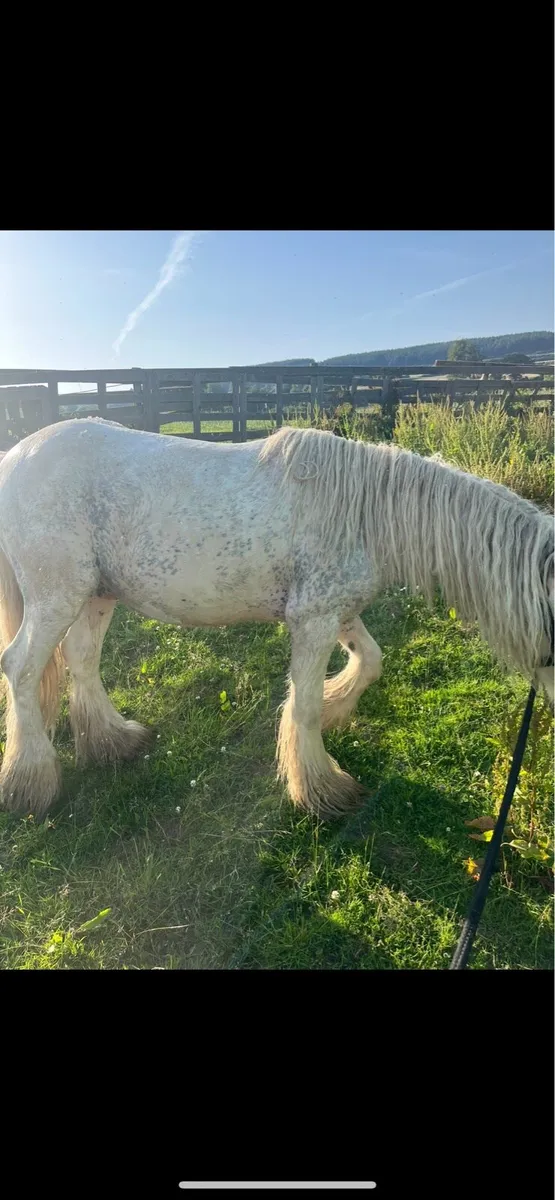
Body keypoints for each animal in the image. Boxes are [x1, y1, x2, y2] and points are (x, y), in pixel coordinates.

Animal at [0, 418, 552, 821]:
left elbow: (370, 661)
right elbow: (303, 706)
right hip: (56, 598)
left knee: (81, 658)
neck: (366, 514)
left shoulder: (336, 612)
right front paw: (322, 787)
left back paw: (114, 742)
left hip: (97, 594)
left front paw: (334, 710)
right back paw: (30, 784)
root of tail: (15, 457)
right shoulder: (313, 619)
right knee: (21, 669)